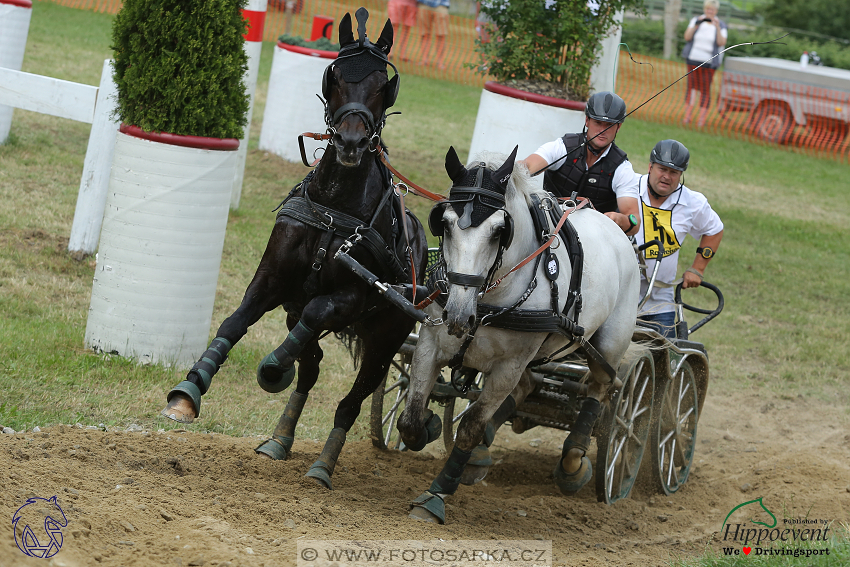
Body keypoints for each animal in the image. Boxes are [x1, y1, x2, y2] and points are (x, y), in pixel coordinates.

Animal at [160, 7, 428, 488]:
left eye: (383, 84)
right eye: (335, 75)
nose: (351, 143)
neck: (334, 211)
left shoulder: (349, 296)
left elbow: (318, 311)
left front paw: (272, 367)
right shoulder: (272, 280)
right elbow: (234, 321)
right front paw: (188, 392)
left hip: (386, 341)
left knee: (352, 399)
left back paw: (322, 465)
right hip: (298, 314)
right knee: (311, 367)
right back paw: (280, 439)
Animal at [396, 146, 636, 524]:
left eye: (499, 230)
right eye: (444, 223)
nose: (459, 315)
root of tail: (614, 228)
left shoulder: (508, 366)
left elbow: (470, 427)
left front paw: (436, 494)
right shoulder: (431, 343)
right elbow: (411, 416)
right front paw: (430, 426)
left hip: (608, 347)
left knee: (599, 389)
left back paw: (573, 462)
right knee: (529, 385)